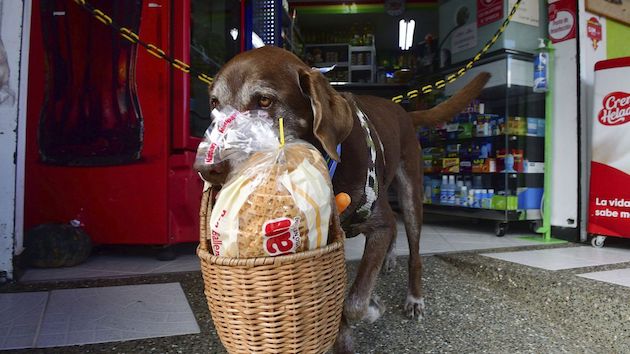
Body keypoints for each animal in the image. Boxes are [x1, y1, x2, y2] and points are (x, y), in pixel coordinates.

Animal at [196, 45, 488, 352]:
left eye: (264, 100)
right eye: (215, 104)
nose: (206, 169)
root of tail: (404, 111)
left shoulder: (379, 225)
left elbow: (355, 301)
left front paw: (371, 309)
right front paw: (342, 336)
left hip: (411, 191)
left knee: (414, 249)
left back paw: (414, 298)